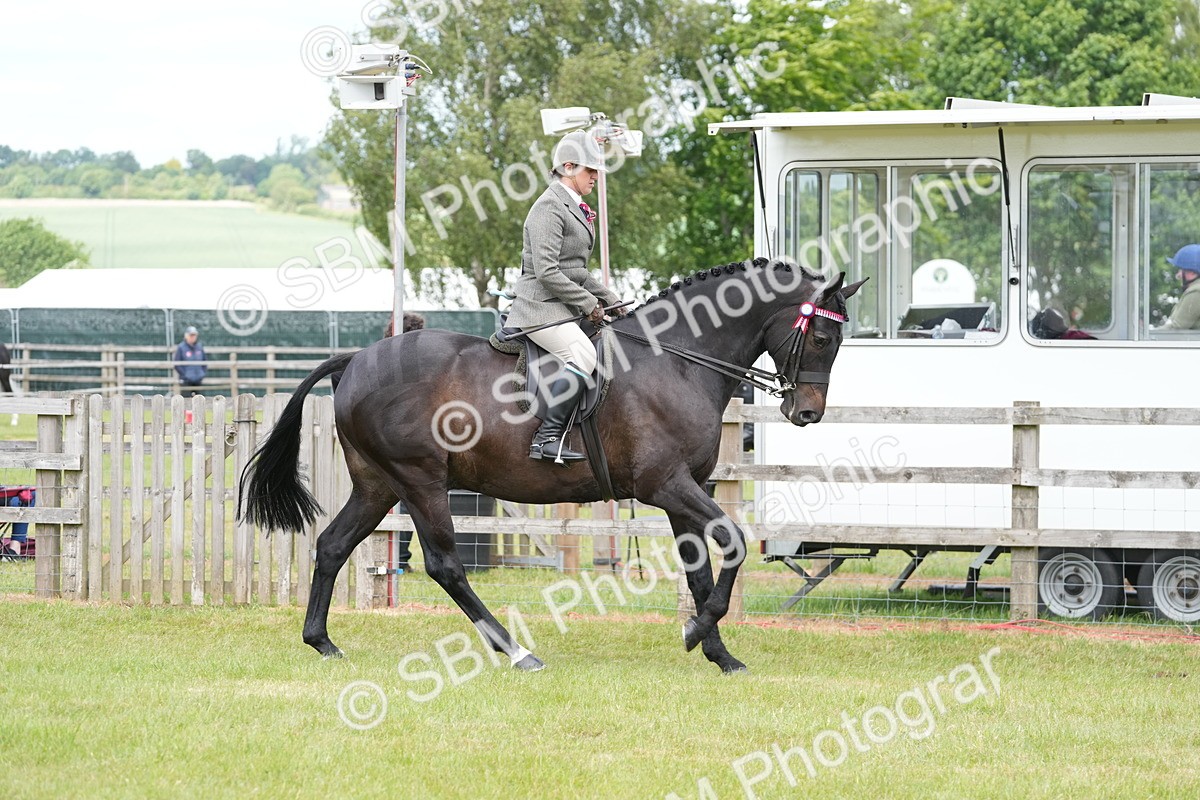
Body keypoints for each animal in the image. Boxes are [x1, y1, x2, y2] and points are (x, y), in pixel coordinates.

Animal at [239, 258, 864, 673]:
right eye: (823, 336)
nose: (807, 412)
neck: (676, 360)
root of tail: (356, 358)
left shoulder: (686, 488)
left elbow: (699, 568)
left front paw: (714, 650)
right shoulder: (665, 485)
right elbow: (731, 541)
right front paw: (699, 634)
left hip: (378, 485)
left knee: (332, 546)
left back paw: (322, 642)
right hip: (420, 481)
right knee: (445, 565)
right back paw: (517, 651)